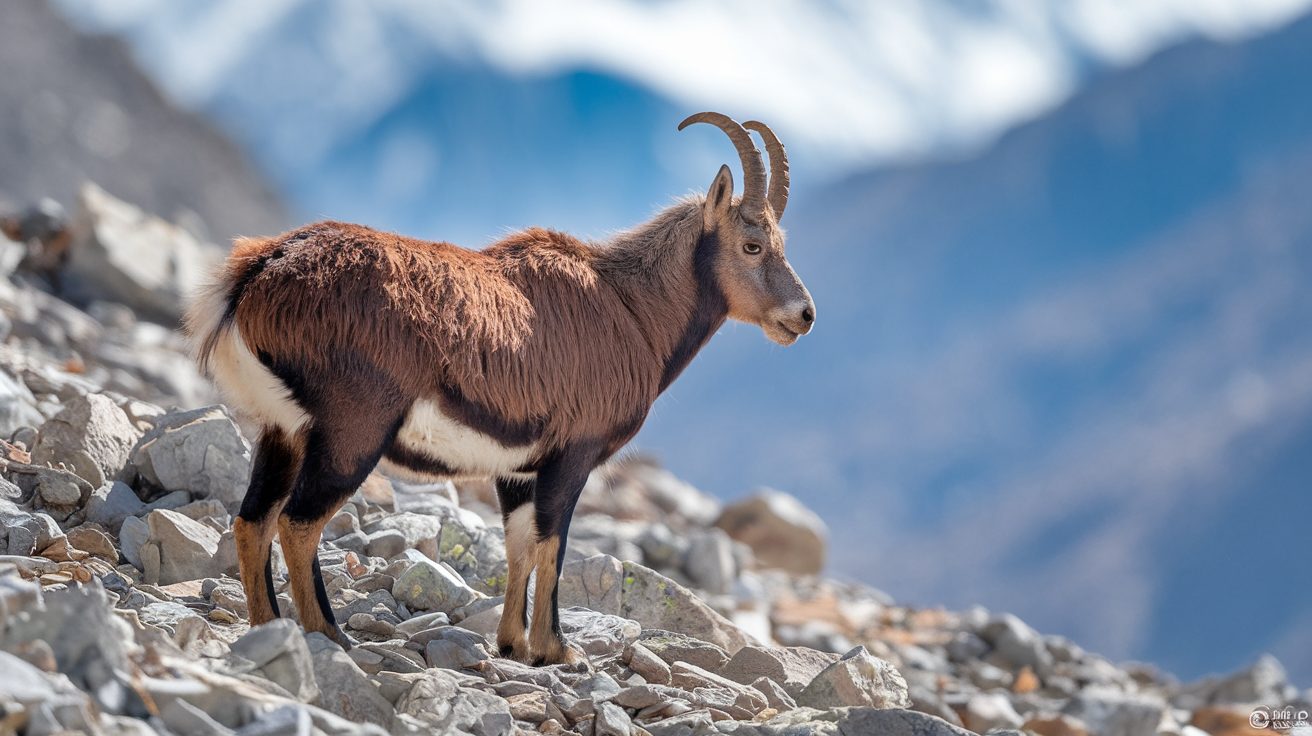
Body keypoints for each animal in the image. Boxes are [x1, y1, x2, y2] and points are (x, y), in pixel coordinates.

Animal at [188, 112, 813, 663]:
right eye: (753, 245)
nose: (803, 315)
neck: (632, 310)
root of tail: (260, 270)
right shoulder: (573, 455)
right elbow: (552, 544)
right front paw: (556, 649)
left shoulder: (516, 469)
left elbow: (518, 544)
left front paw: (512, 643)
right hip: (352, 431)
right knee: (298, 522)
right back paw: (328, 634)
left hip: (285, 430)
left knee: (253, 519)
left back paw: (268, 627)